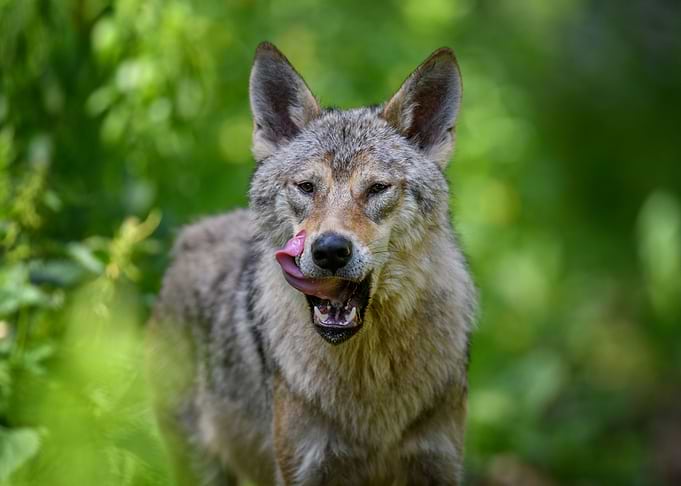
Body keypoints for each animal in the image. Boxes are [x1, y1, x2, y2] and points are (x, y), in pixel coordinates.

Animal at [147, 42, 477, 486]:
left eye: (377, 188)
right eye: (307, 187)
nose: (330, 250)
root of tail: (191, 236)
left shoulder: (437, 464)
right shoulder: (305, 467)